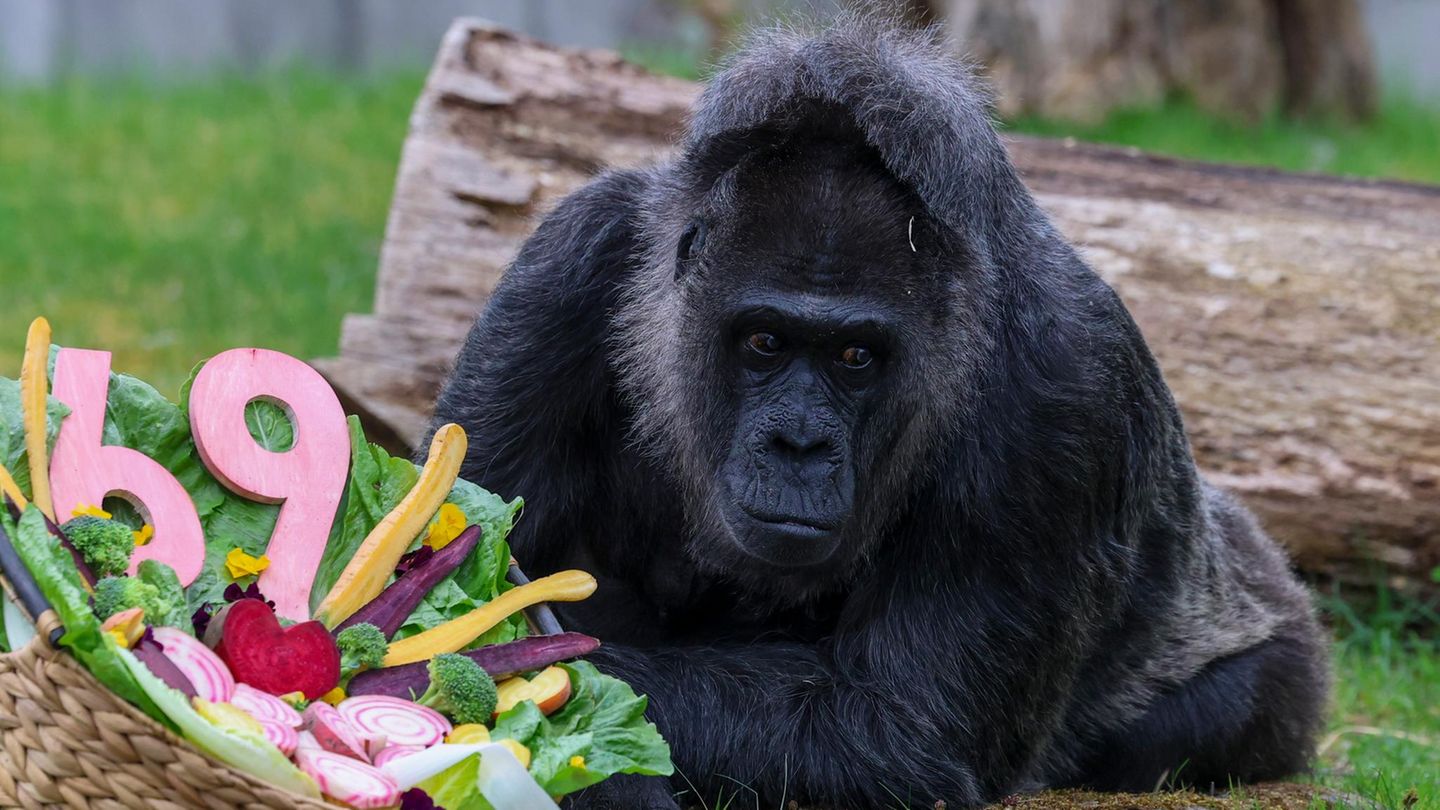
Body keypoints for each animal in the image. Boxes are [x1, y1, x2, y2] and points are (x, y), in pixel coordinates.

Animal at [428, 15, 1329, 809]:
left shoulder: (1066, 389)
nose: (798, 444)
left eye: (856, 357)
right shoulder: (567, 265)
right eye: (764, 342)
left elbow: (895, 729)